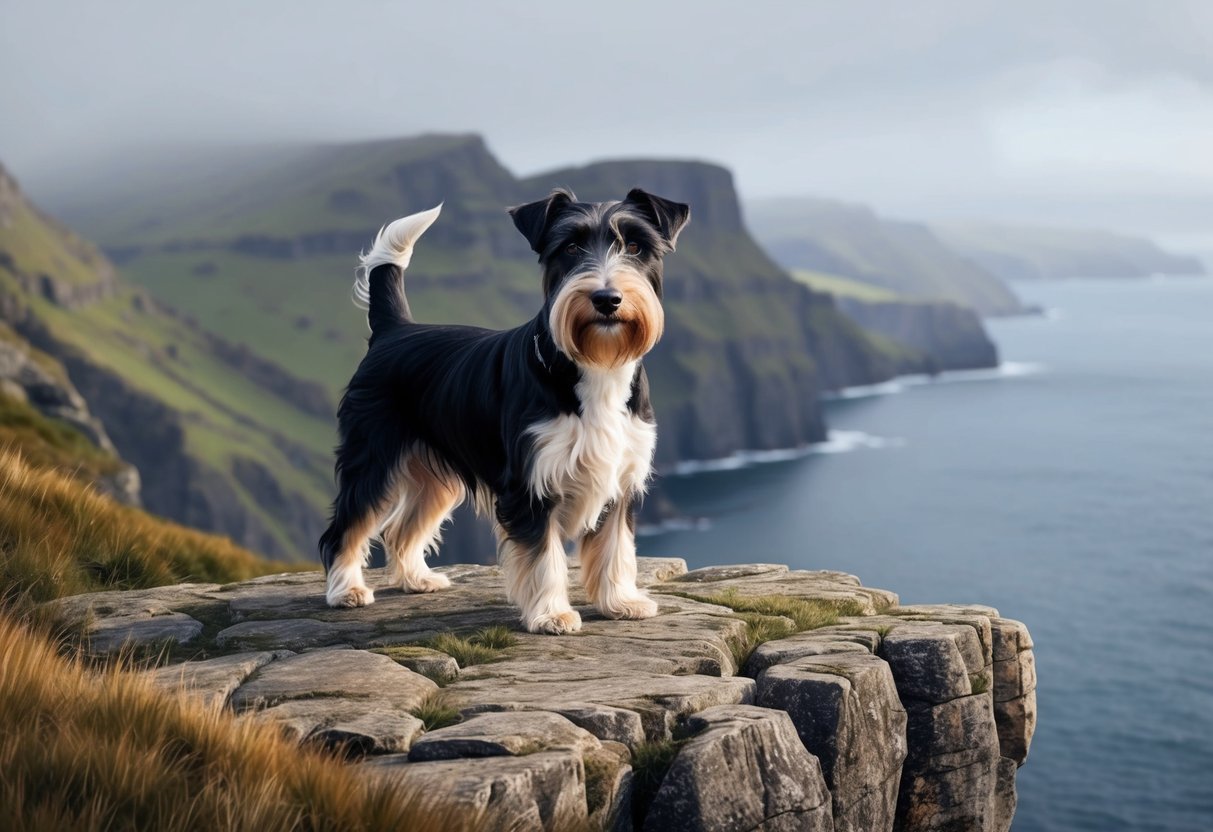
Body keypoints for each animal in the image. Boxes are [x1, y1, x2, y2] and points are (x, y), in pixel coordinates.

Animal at [317, 187, 688, 630]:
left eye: (635, 246)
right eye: (570, 247)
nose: (606, 298)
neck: (593, 365)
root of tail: (394, 330)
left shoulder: (620, 477)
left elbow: (616, 548)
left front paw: (621, 602)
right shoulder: (530, 484)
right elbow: (544, 556)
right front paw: (552, 614)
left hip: (433, 476)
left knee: (400, 529)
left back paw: (417, 580)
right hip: (373, 458)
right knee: (347, 526)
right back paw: (346, 591)